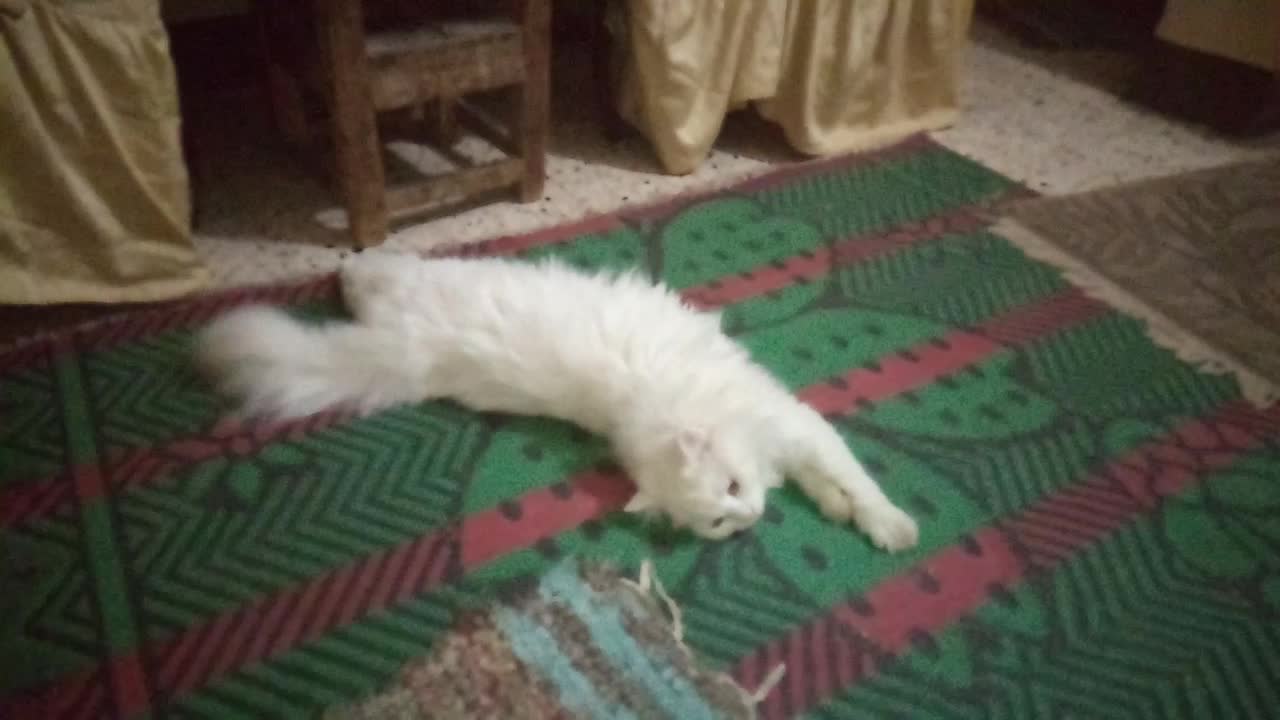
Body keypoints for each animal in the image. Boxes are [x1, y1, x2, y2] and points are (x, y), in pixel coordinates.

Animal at [192, 253, 921, 548]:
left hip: (416, 287)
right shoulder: (791, 439)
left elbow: (849, 482)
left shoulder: (797, 431)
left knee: (376, 268)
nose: (747, 520)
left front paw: (878, 522)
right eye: (717, 518)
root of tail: (412, 350)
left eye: (734, 491)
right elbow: (840, 482)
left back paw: (346, 273)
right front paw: (866, 519)